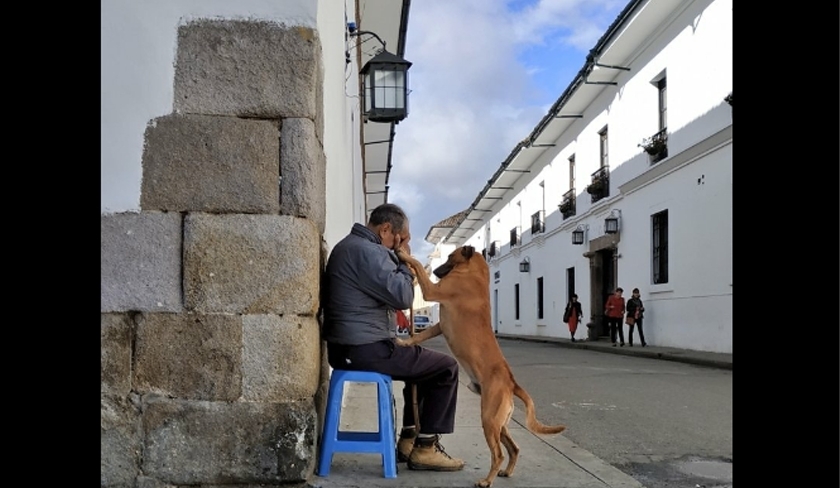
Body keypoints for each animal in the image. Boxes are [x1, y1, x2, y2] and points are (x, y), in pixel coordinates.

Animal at [392, 246, 564, 486]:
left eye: (449, 257)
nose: (435, 270)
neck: (474, 273)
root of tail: (512, 383)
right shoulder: (439, 326)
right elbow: (420, 335)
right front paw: (405, 342)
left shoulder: (433, 291)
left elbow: (417, 266)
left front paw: (405, 255)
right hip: (500, 424)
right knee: (514, 448)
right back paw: (506, 472)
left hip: (489, 420)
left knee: (498, 454)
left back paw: (486, 481)